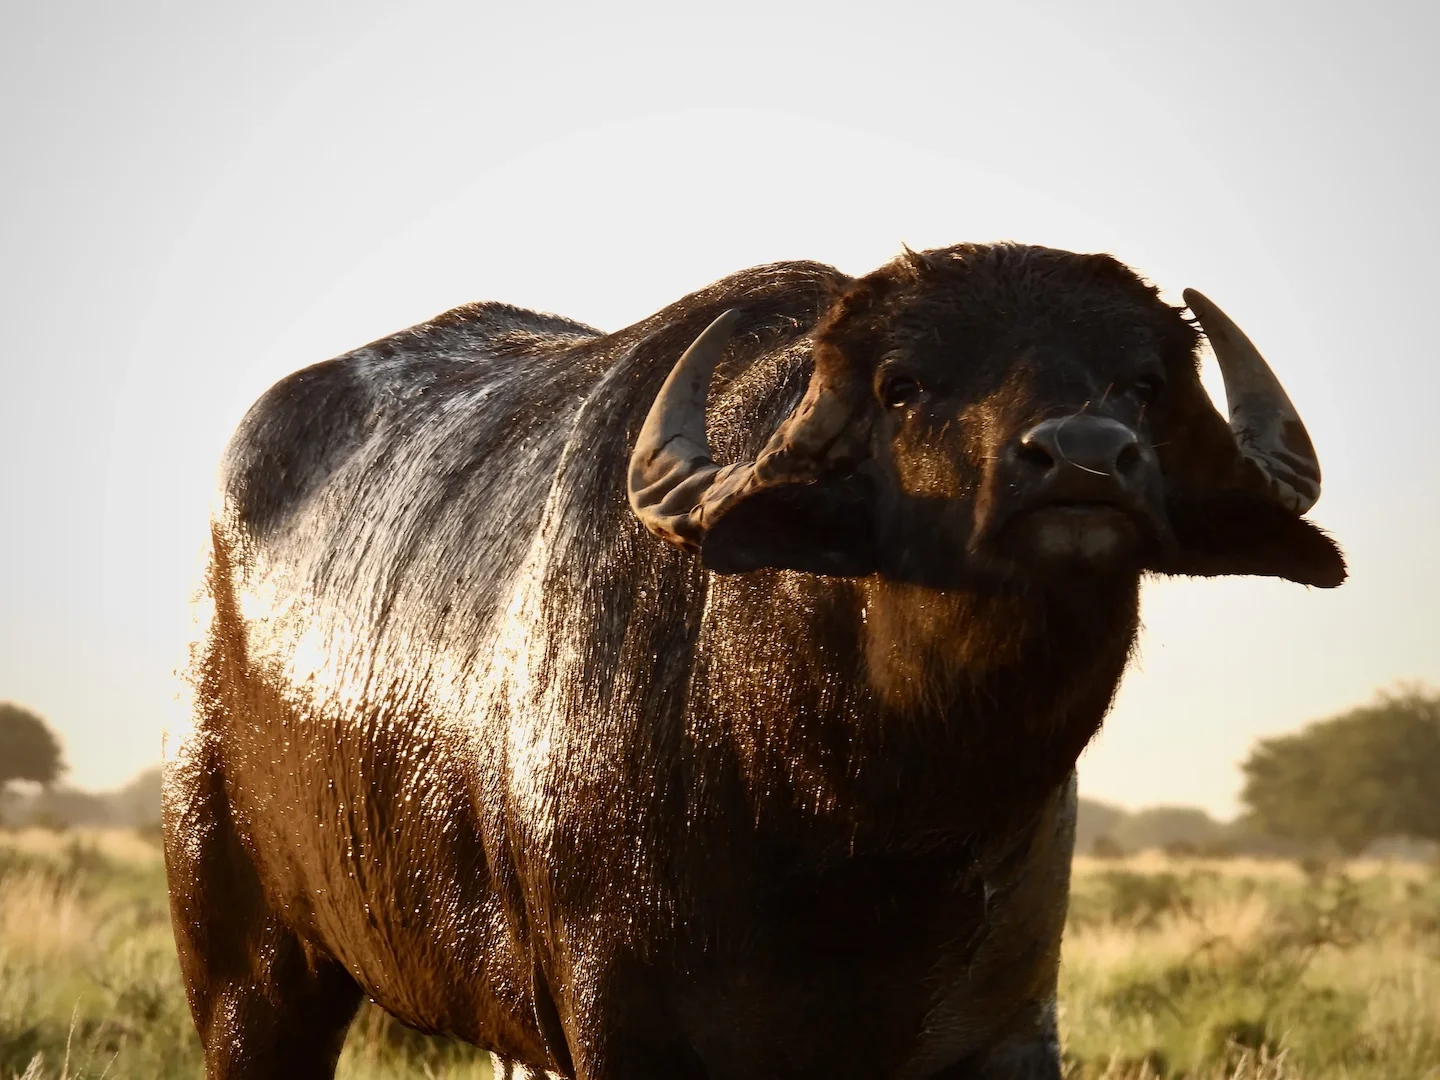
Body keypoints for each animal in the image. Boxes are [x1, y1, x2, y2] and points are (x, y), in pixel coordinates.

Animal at [163, 243, 1344, 1079]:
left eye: (1140, 385)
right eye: (904, 386)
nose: (1087, 460)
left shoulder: (1005, 1027)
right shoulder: (621, 1028)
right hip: (245, 970)